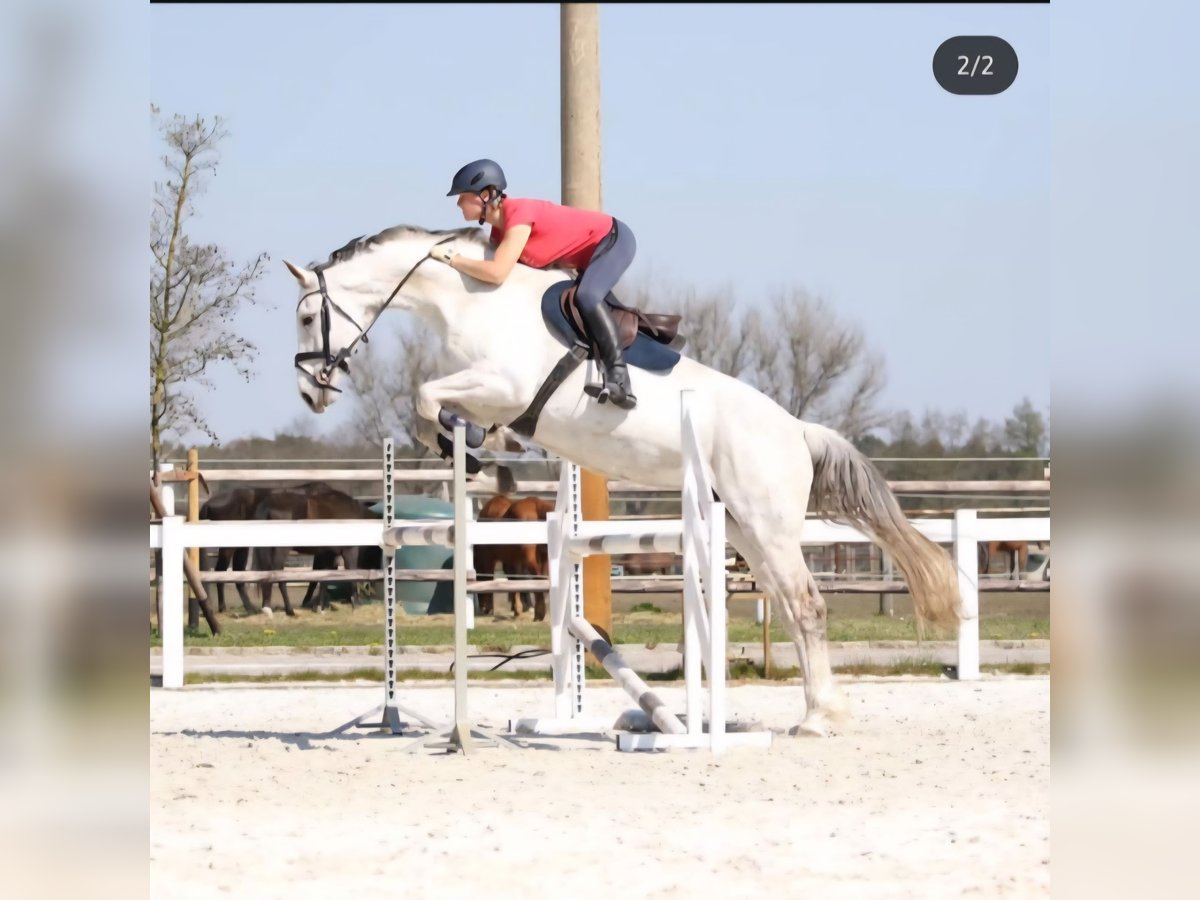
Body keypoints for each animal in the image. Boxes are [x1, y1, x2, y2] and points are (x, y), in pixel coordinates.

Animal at [285, 223, 960, 736]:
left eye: (307, 316)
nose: (310, 393)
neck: (473, 296)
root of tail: (797, 430)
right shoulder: (484, 390)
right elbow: (434, 409)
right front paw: (474, 445)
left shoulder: (501, 384)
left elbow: (428, 395)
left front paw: (475, 444)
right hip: (747, 530)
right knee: (795, 612)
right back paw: (816, 710)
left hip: (766, 525)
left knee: (808, 606)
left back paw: (819, 720)